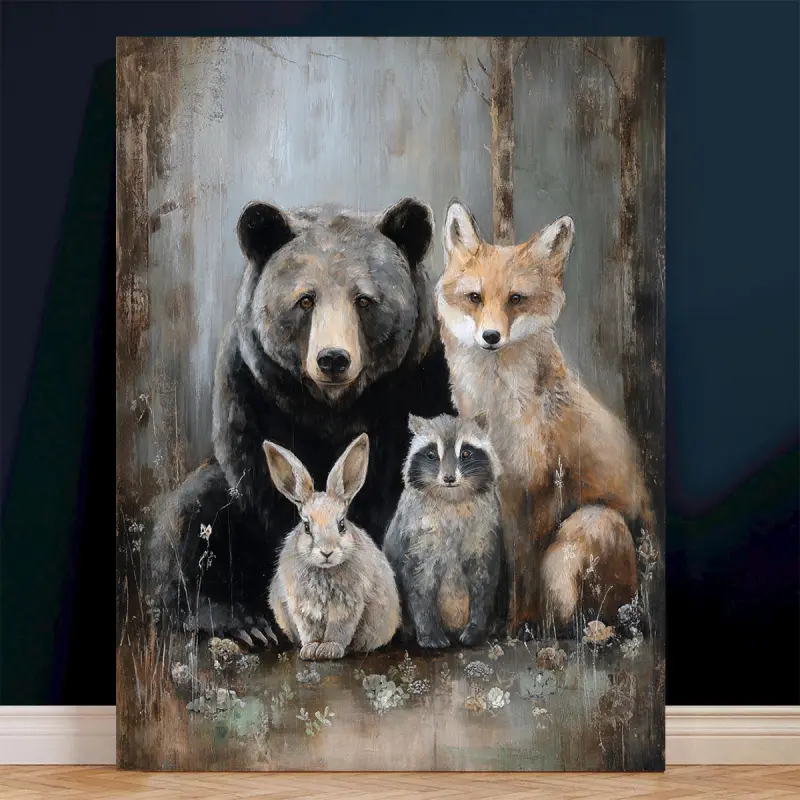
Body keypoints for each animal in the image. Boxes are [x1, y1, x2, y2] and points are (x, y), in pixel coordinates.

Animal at [147, 197, 454, 646]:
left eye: (365, 300)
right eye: (306, 299)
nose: (333, 359)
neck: (332, 407)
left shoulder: (414, 383)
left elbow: (403, 483)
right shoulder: (255, 387)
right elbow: (261, 484)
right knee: (189, 518)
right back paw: (237, 620)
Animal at [383, 413, 505, 648]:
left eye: (465, 453)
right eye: (431, 455)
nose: (449, 478)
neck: (451, 500)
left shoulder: (485, 533)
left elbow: (483, 580)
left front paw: (476, 628)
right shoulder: (416, 537)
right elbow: (420, 584)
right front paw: (428, 632)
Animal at [435, 198, 655, 635]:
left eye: (516, 299)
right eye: (474, 297)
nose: (490, 337)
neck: (498, 412)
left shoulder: (542, 486)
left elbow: (529, 565)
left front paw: (524, 622)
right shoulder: (504, 490)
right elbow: (510, 559)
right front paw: (507, 619)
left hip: (590, 524)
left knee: (597, 614)